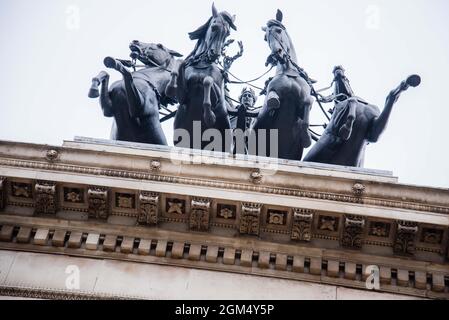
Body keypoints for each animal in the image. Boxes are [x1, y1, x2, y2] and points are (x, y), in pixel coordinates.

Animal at [164, 2, 234, 152]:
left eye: (227, 33)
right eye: (214, 27)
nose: (214, 54)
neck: (202, 63)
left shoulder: (218, 95)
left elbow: (207, 80)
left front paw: (209, 116)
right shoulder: (183, 96)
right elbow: (179, 65)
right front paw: (171, 86)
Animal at [250, 10, 314, 160]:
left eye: (279, 30)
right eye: (265, 38)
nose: (276, 54)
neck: (288, 71)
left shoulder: (303, 100)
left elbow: (308, 102)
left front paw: (306, 136)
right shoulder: (272, 92)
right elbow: (272, 95)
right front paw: (273, 100)